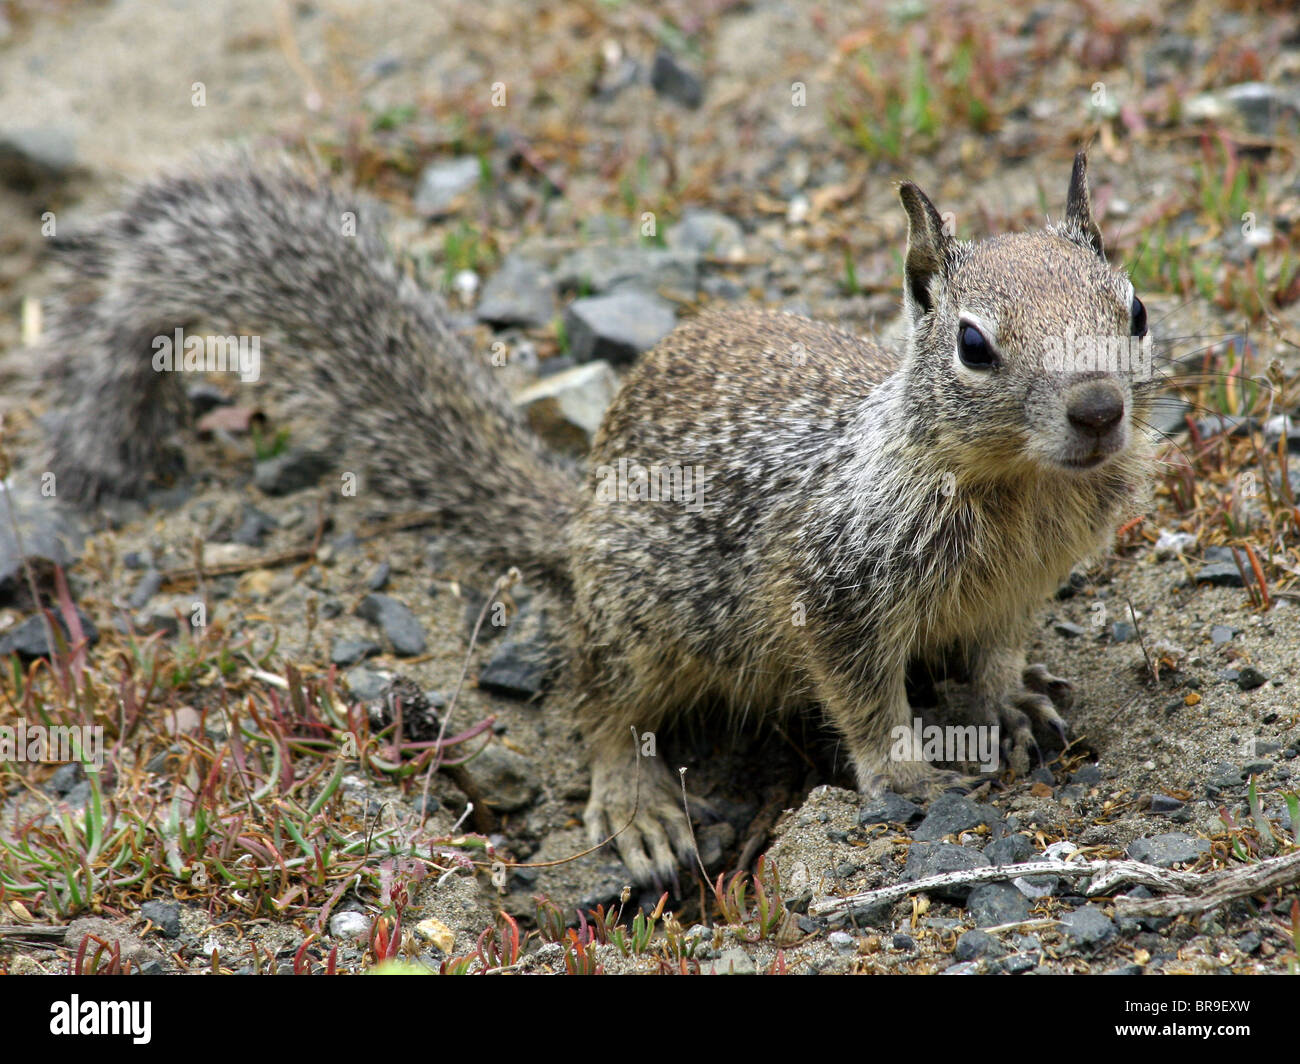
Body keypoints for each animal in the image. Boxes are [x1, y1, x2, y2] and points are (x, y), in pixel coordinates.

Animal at [43, 149, 1159, 879]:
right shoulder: (835, 588)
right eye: (973, 345)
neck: (1019, 489)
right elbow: (861, 693)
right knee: (601, 703)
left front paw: (1009, 699)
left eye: (1136, 307)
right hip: (637, 620)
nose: (1099, 408)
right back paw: (637, 804)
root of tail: (575, 512)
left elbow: (999, 648)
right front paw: (905, 771)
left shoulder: (1023, 585)